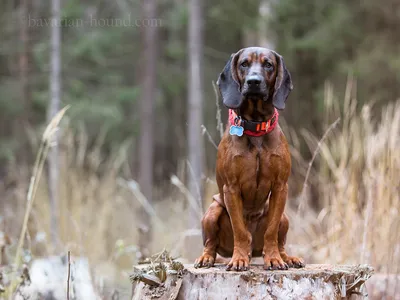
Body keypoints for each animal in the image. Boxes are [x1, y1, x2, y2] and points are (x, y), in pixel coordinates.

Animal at [195, 47, 304, 272]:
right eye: (244, 64)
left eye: (268, 64)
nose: (254, 81)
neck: (256, 127)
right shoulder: (231, 188)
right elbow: (240, 230)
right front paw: (239, 259)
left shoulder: (280, 187)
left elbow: (271, 231)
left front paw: (274, 259)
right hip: (213, 210)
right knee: (211, 243)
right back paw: (208, 257)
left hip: (284, 218)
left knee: (280, 241)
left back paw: (287, 257)